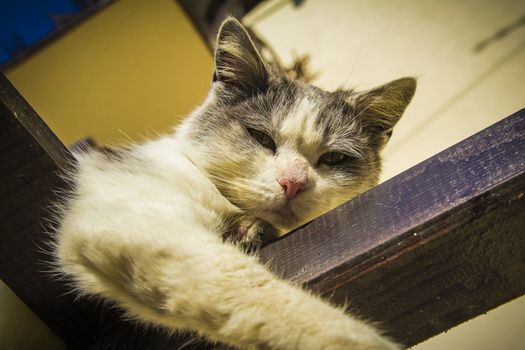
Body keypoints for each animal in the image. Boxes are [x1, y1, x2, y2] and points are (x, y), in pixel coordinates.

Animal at [53, 17, 414, 348]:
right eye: (260, 137)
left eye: (334, 158)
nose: (293, 183)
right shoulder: (137, 224)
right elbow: (261, 293)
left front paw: (251, 230)